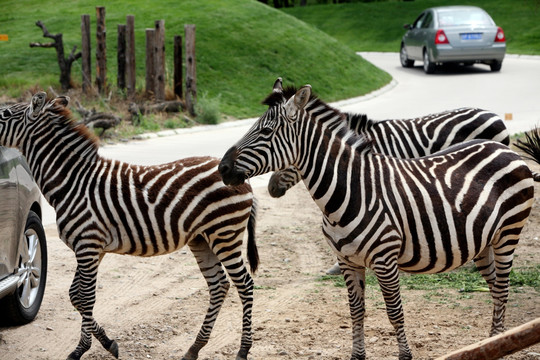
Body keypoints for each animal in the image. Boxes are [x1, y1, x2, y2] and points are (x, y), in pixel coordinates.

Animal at [0, 92, 260, 360]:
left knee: (245, 284)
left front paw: (80, 350)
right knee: (219, 285)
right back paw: (194, 348)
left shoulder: (88, 244)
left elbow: (86, 297)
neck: (74, 182)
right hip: (202, 238)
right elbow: (76, 296)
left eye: (5, 114)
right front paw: (108, 343)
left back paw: (243, 349)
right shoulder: (91, 248)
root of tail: (243, 179)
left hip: (225, 233)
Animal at [219, 79, 540, 360]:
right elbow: (356, 312)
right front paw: (357, 356)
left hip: (508, 233)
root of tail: (507, 150)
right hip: (483, 241)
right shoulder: (348, 261)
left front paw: (405, 355)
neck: (349, 190)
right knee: (495, 289)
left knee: (503, 288)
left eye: (266, 131)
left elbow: (394, 312)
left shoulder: (385, 259)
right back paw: (492, 343)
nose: (222, 168)